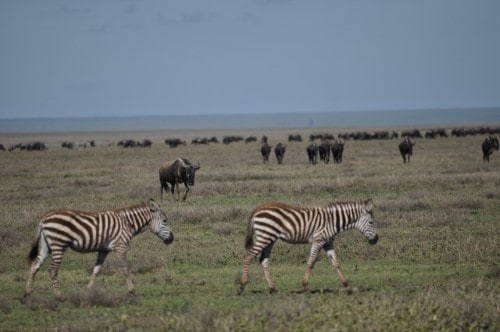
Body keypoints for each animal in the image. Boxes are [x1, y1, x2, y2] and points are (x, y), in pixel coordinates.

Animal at [23, 198, 174, 302]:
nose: (172, 239)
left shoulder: (104, 249)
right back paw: (59, 297)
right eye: (165, 221)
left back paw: (27, 294)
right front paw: (133, 291)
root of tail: (44, 217)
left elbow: (96, 269)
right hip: (58, 244)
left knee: (35, 265)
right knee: (52, 270)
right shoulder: (120, 246)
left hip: (46, 246)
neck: (127, 224)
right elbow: (125, 268)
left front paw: (88, 291)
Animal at [238, 198, 378, 294]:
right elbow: (311, 262)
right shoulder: (319, 240)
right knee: (249, 255)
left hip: (269, 238)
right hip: (265, 236)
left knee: (264, 260)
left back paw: (272, 288)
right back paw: (242, 285)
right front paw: (305, 286)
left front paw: (347, 285)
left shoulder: (328, 242)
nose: (376, 240)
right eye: (371, 222)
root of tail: (258, 208)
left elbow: (336, 263)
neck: (333, 221)